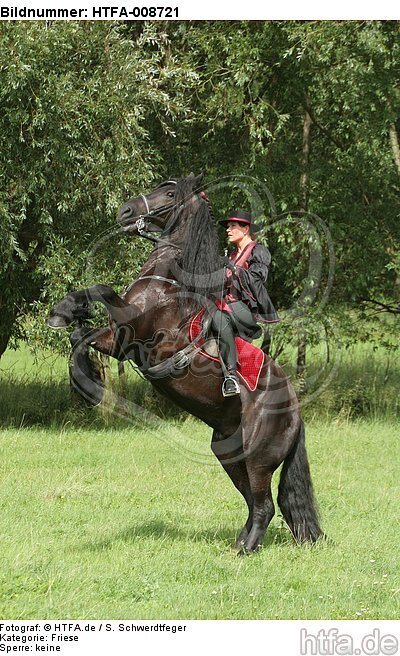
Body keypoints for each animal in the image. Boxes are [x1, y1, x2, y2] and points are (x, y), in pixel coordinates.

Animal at [47, 172, 322, 552]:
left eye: (169, 194)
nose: (125, 211)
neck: (167, 283)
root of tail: (294, 409)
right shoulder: (119, 340)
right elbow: (81, 336)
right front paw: (69, 321)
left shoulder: (133, 331)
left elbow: (101, 289)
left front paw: (84, 374)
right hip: (229, 453)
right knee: (254, 504)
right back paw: (239, 543)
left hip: (258, 457)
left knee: (264, 505)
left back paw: (245, 552)